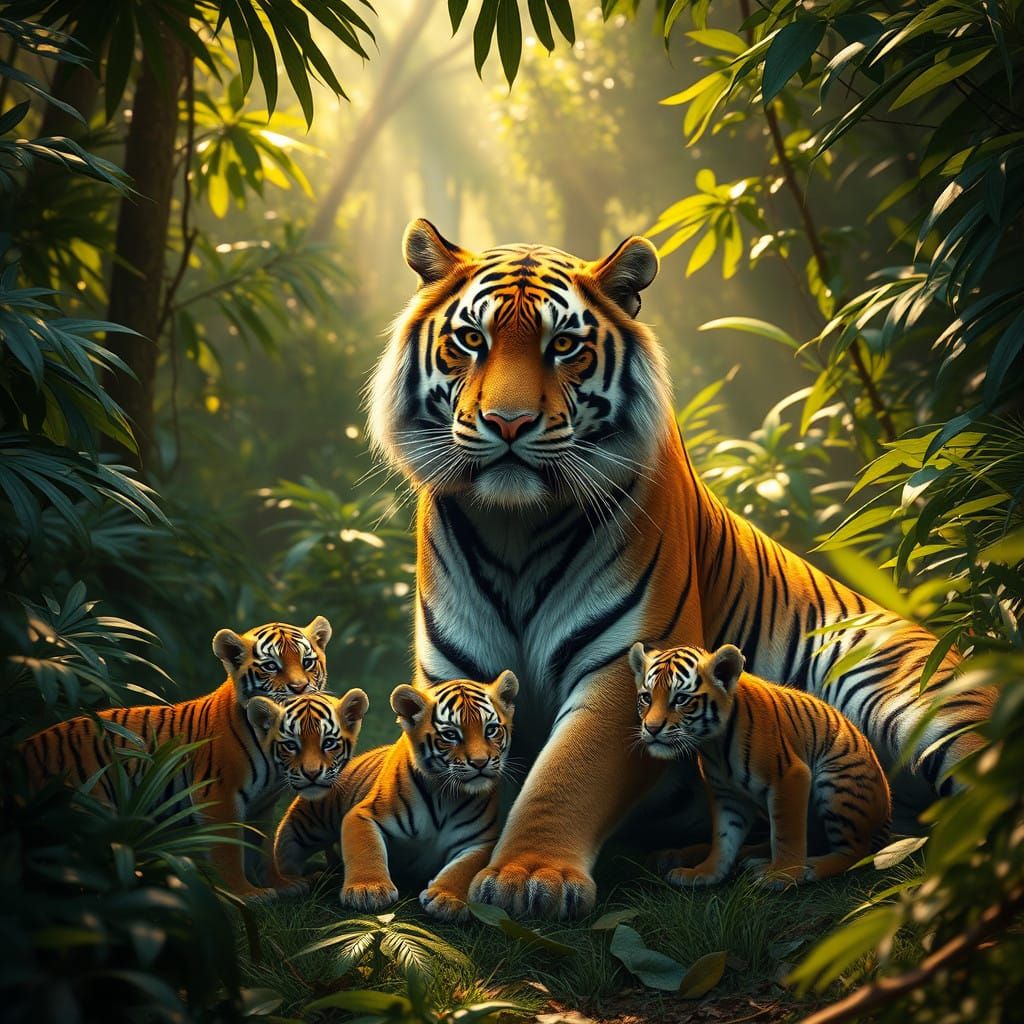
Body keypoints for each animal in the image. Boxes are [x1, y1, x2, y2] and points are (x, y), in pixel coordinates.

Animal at [19, 616, 368, 899]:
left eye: (308, 662)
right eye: (271, 666)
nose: (300, 687)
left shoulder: (263, 804)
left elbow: (262, 845)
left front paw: (282, 885)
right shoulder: (218, 796)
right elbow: (228, 849)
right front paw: (246, 894)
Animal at [273, 671, 517, 920]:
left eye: (491, 730)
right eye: (450, 735)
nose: (480, 762)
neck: (445, 797)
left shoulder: (480, 840)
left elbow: (464, 869)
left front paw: (447, 900)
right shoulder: (364, 815)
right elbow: (366, 849)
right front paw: (368, 890)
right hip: (303, 827)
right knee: (286, 851)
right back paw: (292, 882)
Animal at [630, 641, 891, 888]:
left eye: (681, 699)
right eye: (646, 698)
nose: (651, 729)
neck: (715, 744)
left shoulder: (790, 776)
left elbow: (786, 833)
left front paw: (781, 875)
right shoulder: (727, 795)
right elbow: (724, 838)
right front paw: (704, 873)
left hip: (837, 782)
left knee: (855, 852)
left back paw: (807, 868)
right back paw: (746, 859)